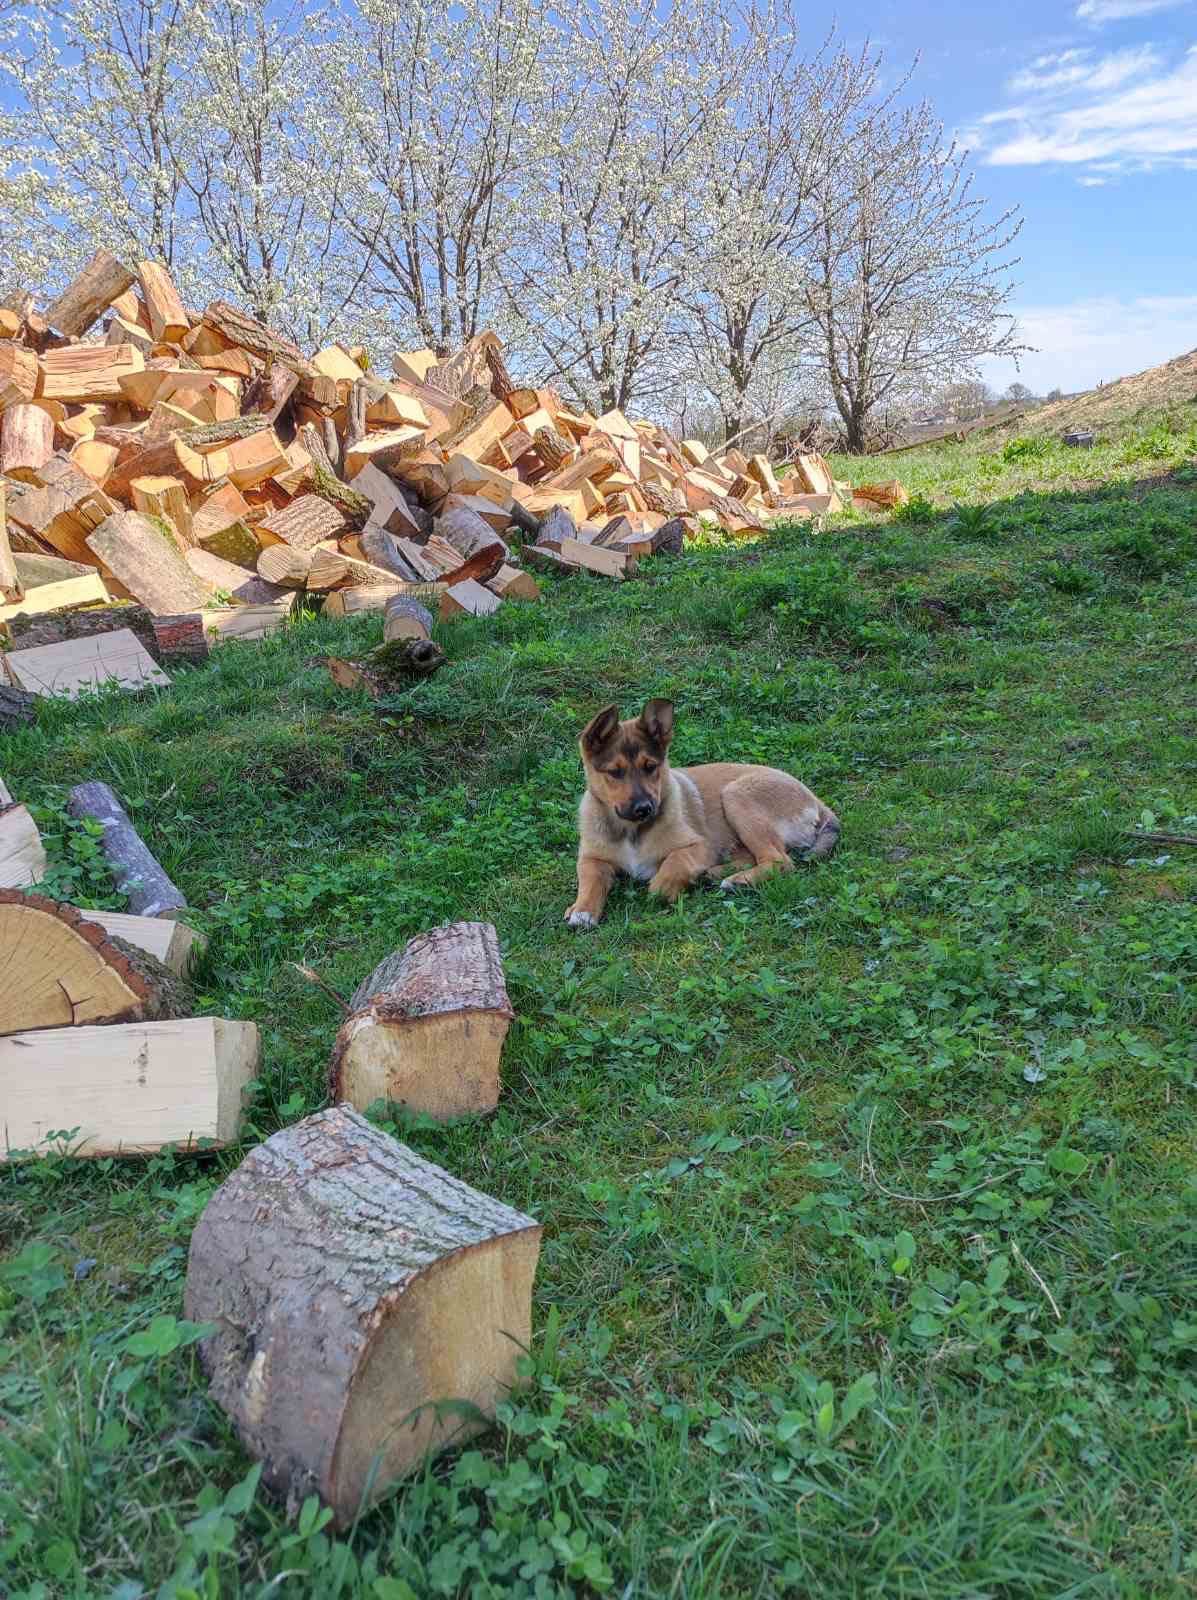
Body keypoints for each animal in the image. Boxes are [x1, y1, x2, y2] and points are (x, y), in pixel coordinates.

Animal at [563, 697, 838, 934]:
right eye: (615, 772)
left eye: (651, 767)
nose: (645, 808)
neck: (631, 830)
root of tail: (815, 800)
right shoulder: (592, 858)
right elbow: (590, 880)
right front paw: (582, 910)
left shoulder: (701, 845)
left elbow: (675, 862)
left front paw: (663, 888)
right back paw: (715, 875)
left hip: (737, 795)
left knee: (780, 860)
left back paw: (735, 881)